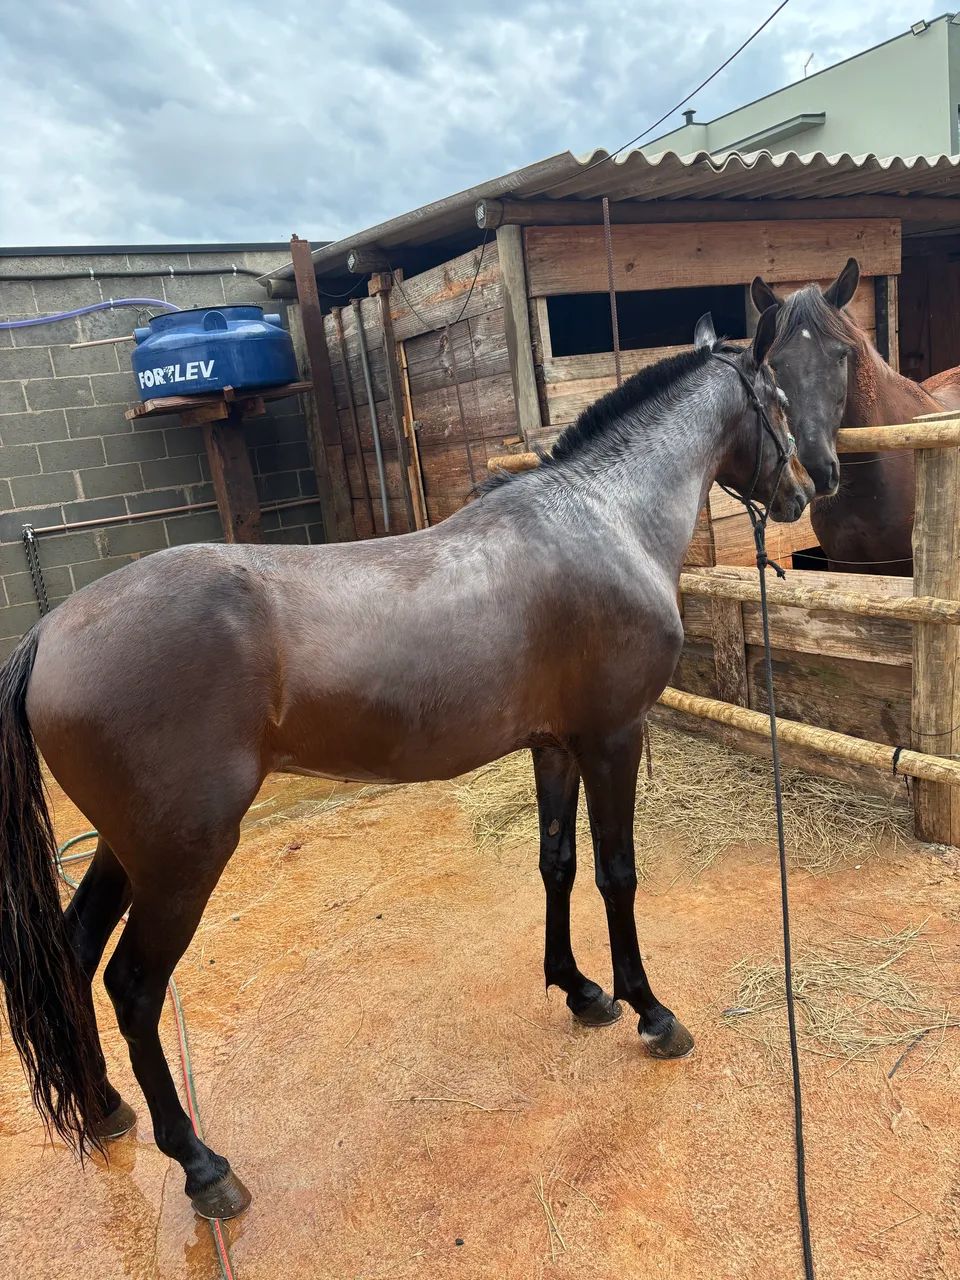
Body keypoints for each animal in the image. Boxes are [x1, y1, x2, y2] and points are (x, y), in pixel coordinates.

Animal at [0, 308, 812, 1220]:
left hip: (125, 848)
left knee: (72, 952)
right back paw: (201, 1165)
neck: (601, 517)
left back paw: (106, 1107)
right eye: (779, 400)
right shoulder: (612, 737)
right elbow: (617, 875)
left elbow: (558, 865)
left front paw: (578, 991)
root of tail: (48, 634)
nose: (806, 490)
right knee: (134, 987)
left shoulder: (555, 746)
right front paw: (650, 1010)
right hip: (183, 859)